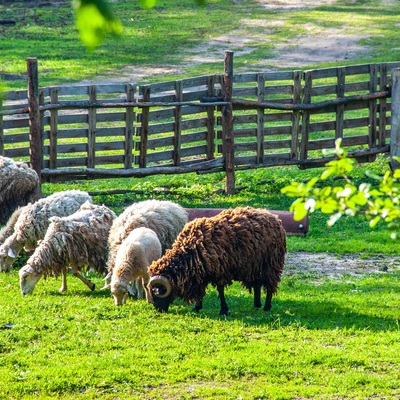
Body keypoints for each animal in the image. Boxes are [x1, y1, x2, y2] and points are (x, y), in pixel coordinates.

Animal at [148, 206, 286, 316]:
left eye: (157, 292)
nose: (158, 310)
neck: (190, 251)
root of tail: (274, 217)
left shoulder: (220, 271)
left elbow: (220, 290)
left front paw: (223, 310)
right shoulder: (201, 273)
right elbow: (200, 291)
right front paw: (197, 307)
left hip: (270, 263)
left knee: (270, 285)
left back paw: (267, 307)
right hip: (254, 265)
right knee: (257, 283)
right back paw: (257, 304)